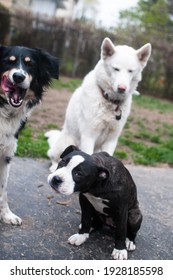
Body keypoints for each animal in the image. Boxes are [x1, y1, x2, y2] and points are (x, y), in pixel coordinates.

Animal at [0, 46, 58, 225]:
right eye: (8, 61)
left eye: (30, 64)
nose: (18, 76)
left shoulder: (6, 154)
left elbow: (3, 190)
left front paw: (7, 215)